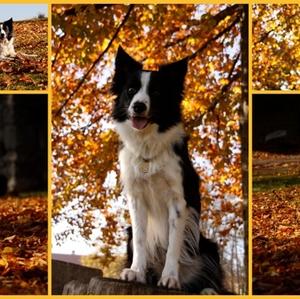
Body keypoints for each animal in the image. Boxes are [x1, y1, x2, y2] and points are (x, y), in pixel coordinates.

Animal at [111, 47, 224, 296]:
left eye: (156, 92)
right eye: (131, 91)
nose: (138, 106)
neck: (148, 146)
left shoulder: (178, 201)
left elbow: (173, 243)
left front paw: (170, 278)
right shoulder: (136, 199)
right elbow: (141, 239)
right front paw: (136, 272)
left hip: (208, 247)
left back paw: (206, 289)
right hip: (129, 234)